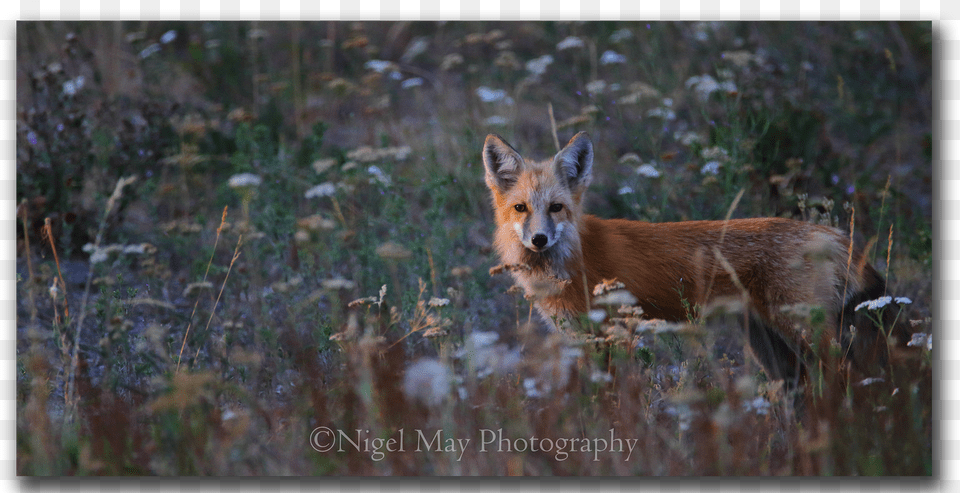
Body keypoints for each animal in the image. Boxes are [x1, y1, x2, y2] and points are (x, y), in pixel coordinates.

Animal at [484, 131, 912, 388]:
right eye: (521, 208)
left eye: (556, 208)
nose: (539, 239)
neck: (576, 256)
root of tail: (833, 235)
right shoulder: (579, 338)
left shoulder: (614, 334)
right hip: (772, 350)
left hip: (804, 334)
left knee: (847, 379)